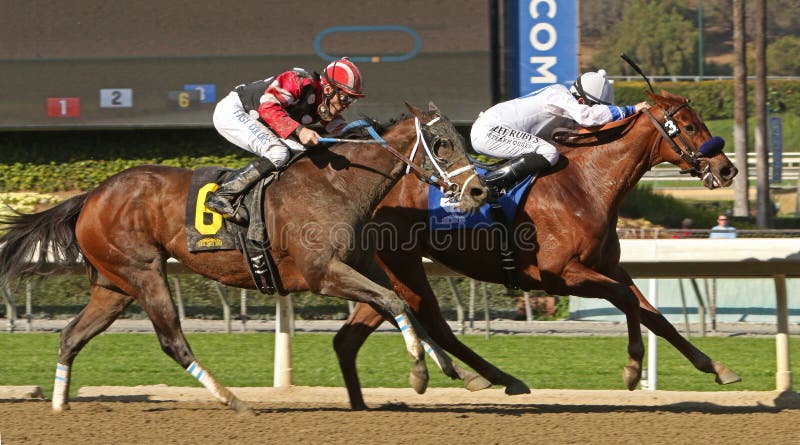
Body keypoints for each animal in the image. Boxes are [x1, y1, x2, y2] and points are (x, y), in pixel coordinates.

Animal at [0, 103, 488, 412]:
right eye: (441, 143)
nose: (479, 191)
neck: (338, 185)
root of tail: (91, 196)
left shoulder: (361, 265)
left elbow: (405, 307)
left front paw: (461, 373)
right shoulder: (322, 273)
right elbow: (395, 302)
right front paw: (420, 375)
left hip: (113, 285)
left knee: (71, 336)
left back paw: (60, 408)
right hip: (144, 273)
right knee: (172, 340)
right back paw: (234, 402)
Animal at [334, 90, 740, 410]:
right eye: (689, 126)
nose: (727, 168)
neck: (585, 185)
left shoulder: (609, 267)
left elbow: (653, 315)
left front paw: (716, 366)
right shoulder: (559, 275)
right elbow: (626, 300)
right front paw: (632, 368)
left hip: (391, 270)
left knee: (353, 335)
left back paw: (362, 403)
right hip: (403, 263)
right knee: (429, 319)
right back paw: (491, 377)